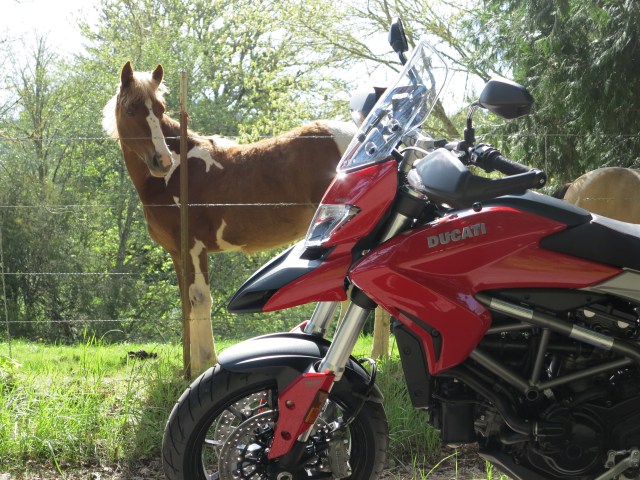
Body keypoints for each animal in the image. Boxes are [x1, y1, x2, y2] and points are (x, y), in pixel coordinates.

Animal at [102, 61, 356, 374]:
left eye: (160, 110)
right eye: (130, 111)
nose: (162, 161)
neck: (178, 173)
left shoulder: (194, 248)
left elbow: (199, 299)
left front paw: (205, 365)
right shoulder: (178, 252)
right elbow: (186, 303)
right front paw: (189, 369)